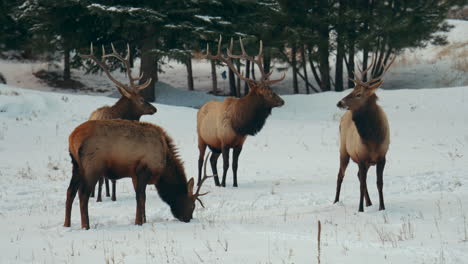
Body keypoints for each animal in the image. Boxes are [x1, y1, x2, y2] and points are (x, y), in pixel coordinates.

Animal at [64, 119, 210, 229]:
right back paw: (86, 226)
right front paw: (139, 222)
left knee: (70, 191)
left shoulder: (134, 175)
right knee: (83, 194)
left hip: (76, 166)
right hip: (92, 167)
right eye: (192, 205)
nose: (188, 219)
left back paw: (67, 224)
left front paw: (143, 220)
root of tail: (72, 137)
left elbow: (141, 198)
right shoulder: (143, 171)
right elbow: (140, 197)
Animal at [77, 44, 156, 203]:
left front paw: (111, 196)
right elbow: (103, 178)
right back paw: (97, 194)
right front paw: (100, 198)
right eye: (141, 99)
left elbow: (111, 178)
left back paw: (105, 193)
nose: (154, 108)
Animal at [197, 37, 286, 188]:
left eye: (272, 89)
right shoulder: (224, 142)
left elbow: (235, 165)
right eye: (267, 92)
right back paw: (199, 183)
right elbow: (226, 164)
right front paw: (224, 184)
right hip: (201, 138)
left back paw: (216, 183)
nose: (282, 101)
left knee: (212, 160)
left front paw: (234, 184)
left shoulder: (239, 144)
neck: (239, 125)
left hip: (215, 145)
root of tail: (201, 108)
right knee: (200, 160)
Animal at [332, 55, 394, 212]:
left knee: (358, 176)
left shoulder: (382, 157)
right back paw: (335, 201)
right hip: (344, 150)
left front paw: (382, 207)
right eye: (352, 90)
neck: (372, 139)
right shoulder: (360, 157)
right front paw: (360, 209)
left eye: (359, 94)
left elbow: (379, 183)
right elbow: (361, 185)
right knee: (340, 175)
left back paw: (369, 202)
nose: (339, 103)